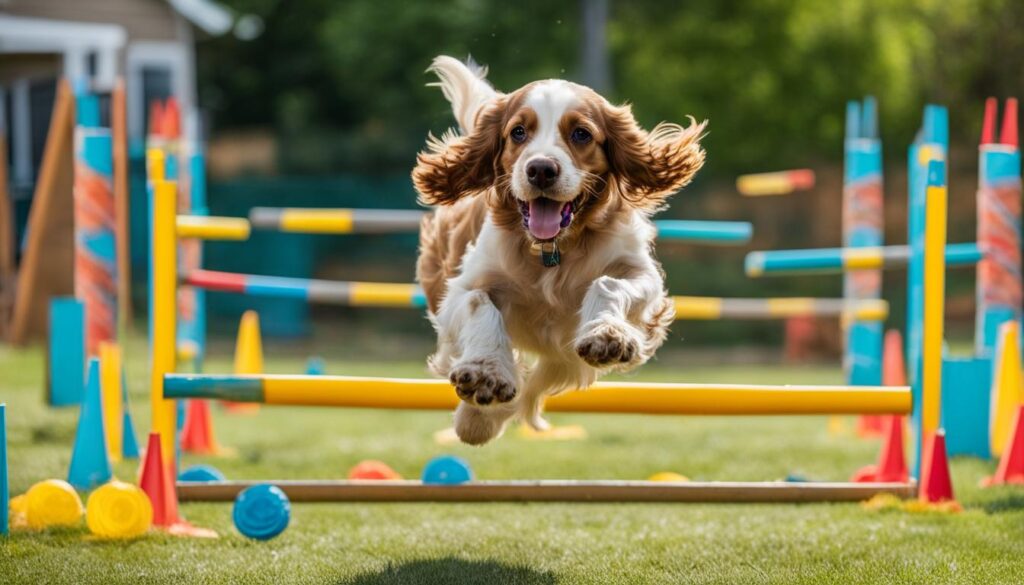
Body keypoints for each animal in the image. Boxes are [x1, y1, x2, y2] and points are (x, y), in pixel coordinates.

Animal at [409, 57, 704, 446]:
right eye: (518, 132)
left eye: (581, 134)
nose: (541, 169)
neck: (551, 252)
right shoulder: (460, 289)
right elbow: (479, 303)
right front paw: (487, 373)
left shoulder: (641, 276)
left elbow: (608, 284)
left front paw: (607, 335)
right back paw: (477, 418)